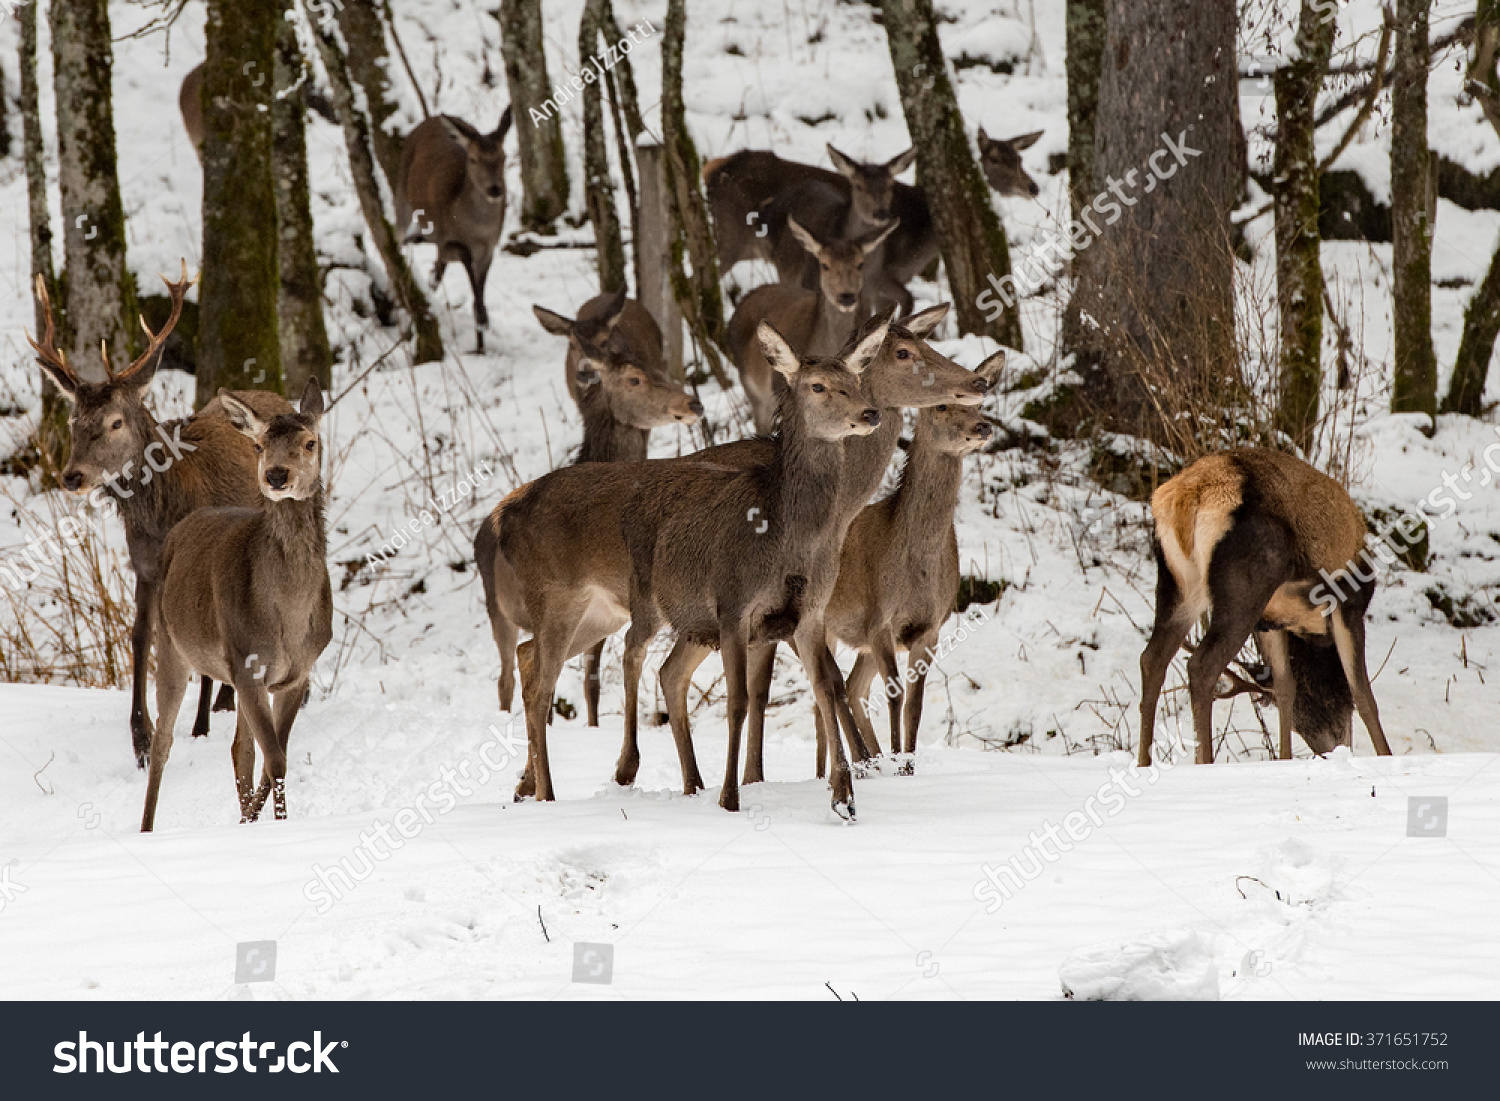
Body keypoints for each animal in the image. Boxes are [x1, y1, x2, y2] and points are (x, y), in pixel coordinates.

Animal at [27, 265, 292, 768]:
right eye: (72, 421)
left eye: (115, 422)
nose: (72, 476)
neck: (165, 513)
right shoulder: (145, 566)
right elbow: (138, 636)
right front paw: (141, 739)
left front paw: (198, 727)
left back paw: (220, 705)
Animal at [140, 384, 331, 834]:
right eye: (259, 445)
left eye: (309, 442)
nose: (276, 475)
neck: (288, 620)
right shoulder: (247, 663)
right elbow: (275, 759)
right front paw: (276, 824)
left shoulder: (296, 673)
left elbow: (269, 757)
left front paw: (258, 821)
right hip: (172, 643)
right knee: (163, 742)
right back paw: (146, 828)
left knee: (238, 748)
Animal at [396, 108, 513, 354]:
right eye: (473, 159)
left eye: (503, 157)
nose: (495, 189)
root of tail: (428, 120)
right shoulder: (448, 240)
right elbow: (465, 261)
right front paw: (483, 322)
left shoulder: (490, 248)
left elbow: (478, 290)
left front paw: (481, 345)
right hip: (401, 198)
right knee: (399, 241)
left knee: (435, 273)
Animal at [1134, 450, 1392, 768]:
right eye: (1326, 705)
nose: (1332, 749)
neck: (1310, 634)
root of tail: (1190, 495)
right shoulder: (1348, 603)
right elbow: (1363, 694)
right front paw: (1386, 755)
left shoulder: (1271, 622)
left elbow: (1285, 686)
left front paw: (1284, 759)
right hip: (1247, 584)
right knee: (1201, 665)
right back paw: (1204, 761)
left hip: (1178, 583)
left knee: (1152, 659)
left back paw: (1142, 763)